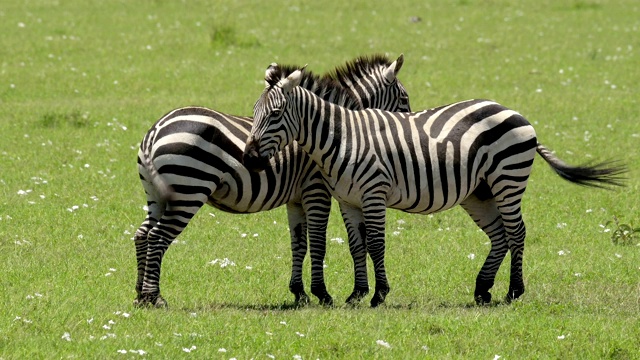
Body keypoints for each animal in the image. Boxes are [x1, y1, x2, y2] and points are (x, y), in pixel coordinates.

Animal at [134, 53, 410, 306]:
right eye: (405, 99)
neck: (330, 131)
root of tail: (155, 131)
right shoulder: (316, 189)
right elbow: (318, 242)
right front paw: (322, 294)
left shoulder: (296, 198)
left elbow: (299, 243)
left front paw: (300, 294)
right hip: (188, 190)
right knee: (157, 237)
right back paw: (155, 297)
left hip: (157, 195)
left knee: (142, 234)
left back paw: (140, 296)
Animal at [241, 65, 624, 306]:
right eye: (254, 114)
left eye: (274, 115)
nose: (249, 159)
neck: (342, 136)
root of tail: (512, 110)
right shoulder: (348, 200)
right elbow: (356, 246)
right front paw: (356, 294)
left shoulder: (374, 192)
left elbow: (376, 244)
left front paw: (379, 295)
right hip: (479, 192)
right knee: (500, 235)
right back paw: (483, 290)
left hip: (507, 178)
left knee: (517, 232)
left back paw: (513, 291)